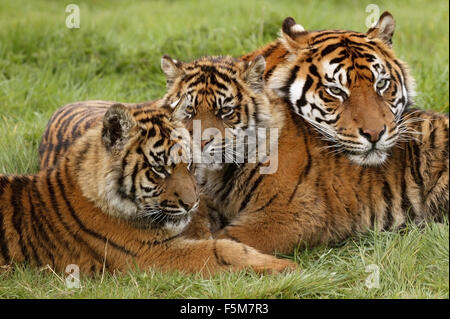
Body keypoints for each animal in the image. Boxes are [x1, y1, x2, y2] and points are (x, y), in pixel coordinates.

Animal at [0, 101, 296, 274]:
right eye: (159, 169)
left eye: (190, 165)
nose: (192, 204)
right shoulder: (150, 254)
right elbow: (223, 249)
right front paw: (285, 266)